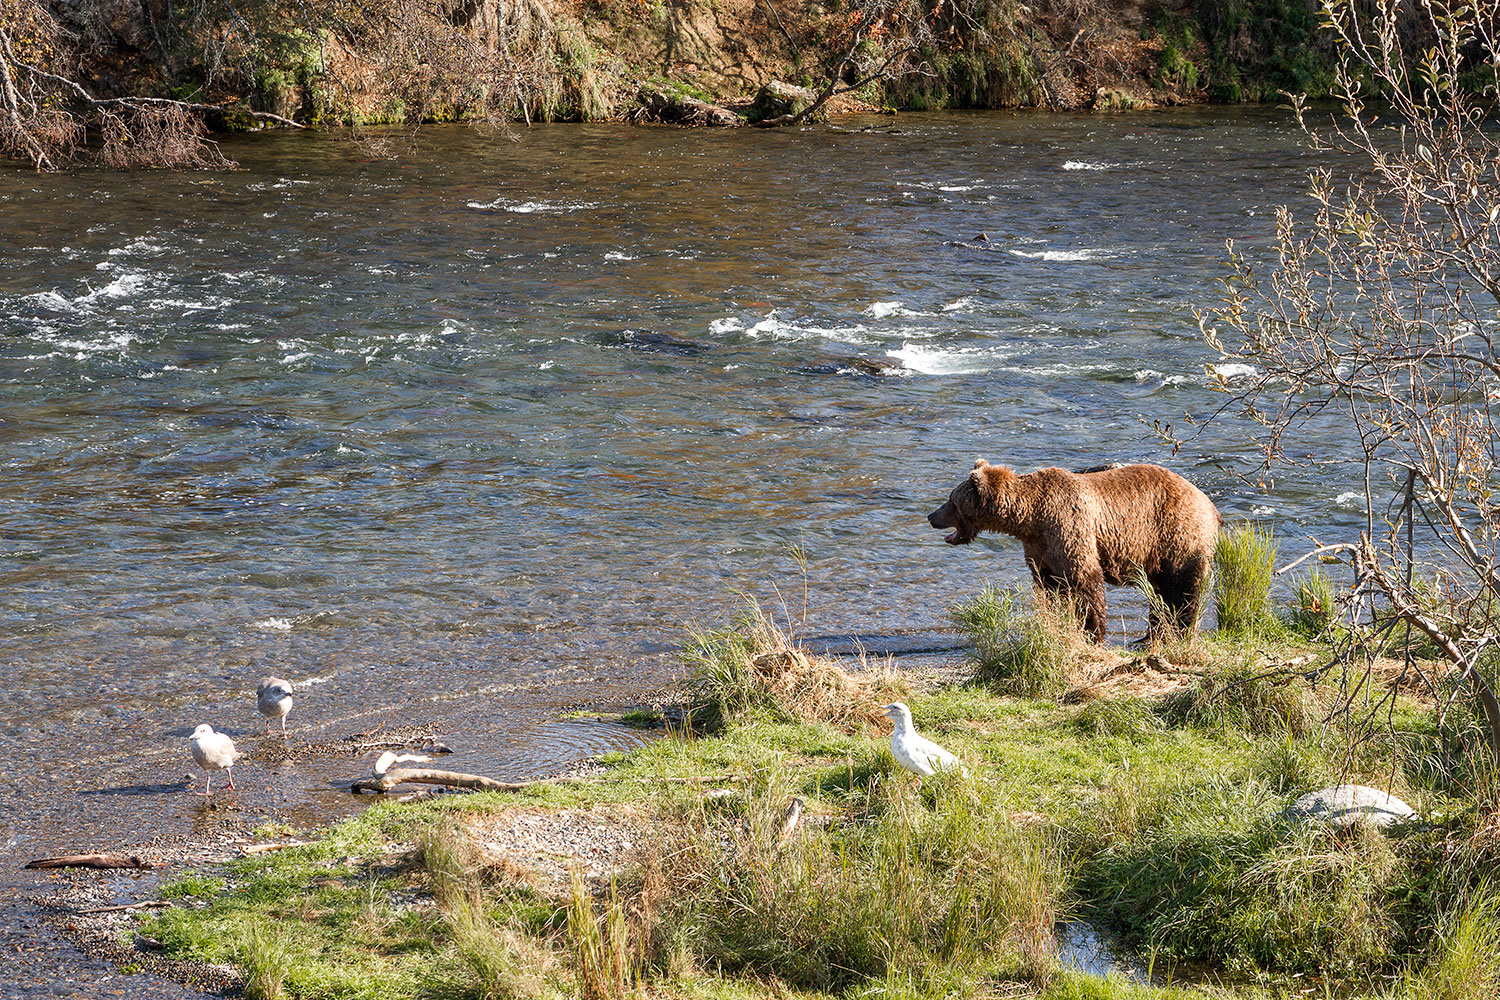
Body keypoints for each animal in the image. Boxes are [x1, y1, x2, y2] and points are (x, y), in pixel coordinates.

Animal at [928, 460, 1222, 643]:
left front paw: (1093, 632)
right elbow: (1048, 586)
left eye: (951, 500)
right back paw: (1151, 635)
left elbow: (1085, 580)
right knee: (1160, 591)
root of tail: (1208, 501)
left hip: (1176, 532)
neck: (1030, 517)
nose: (931, 516)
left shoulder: (1069, 525)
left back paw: (1181, 629)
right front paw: (1056, 620)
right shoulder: (1040, 548)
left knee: (1184, 587)